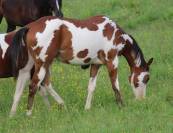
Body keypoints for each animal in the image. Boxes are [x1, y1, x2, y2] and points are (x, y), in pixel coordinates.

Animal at [11, 15, 153, 115]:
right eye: (145, 79)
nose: (141, 99)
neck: (115, 34)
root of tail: (30, 26)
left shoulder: (96, 65)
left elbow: (91, 87)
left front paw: (87, 108)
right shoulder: (112, 62)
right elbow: (115, 86)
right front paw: (121, 106)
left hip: (37, 65)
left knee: (36, 85)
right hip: (42, 64)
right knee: (33, 86)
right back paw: (29, 114)